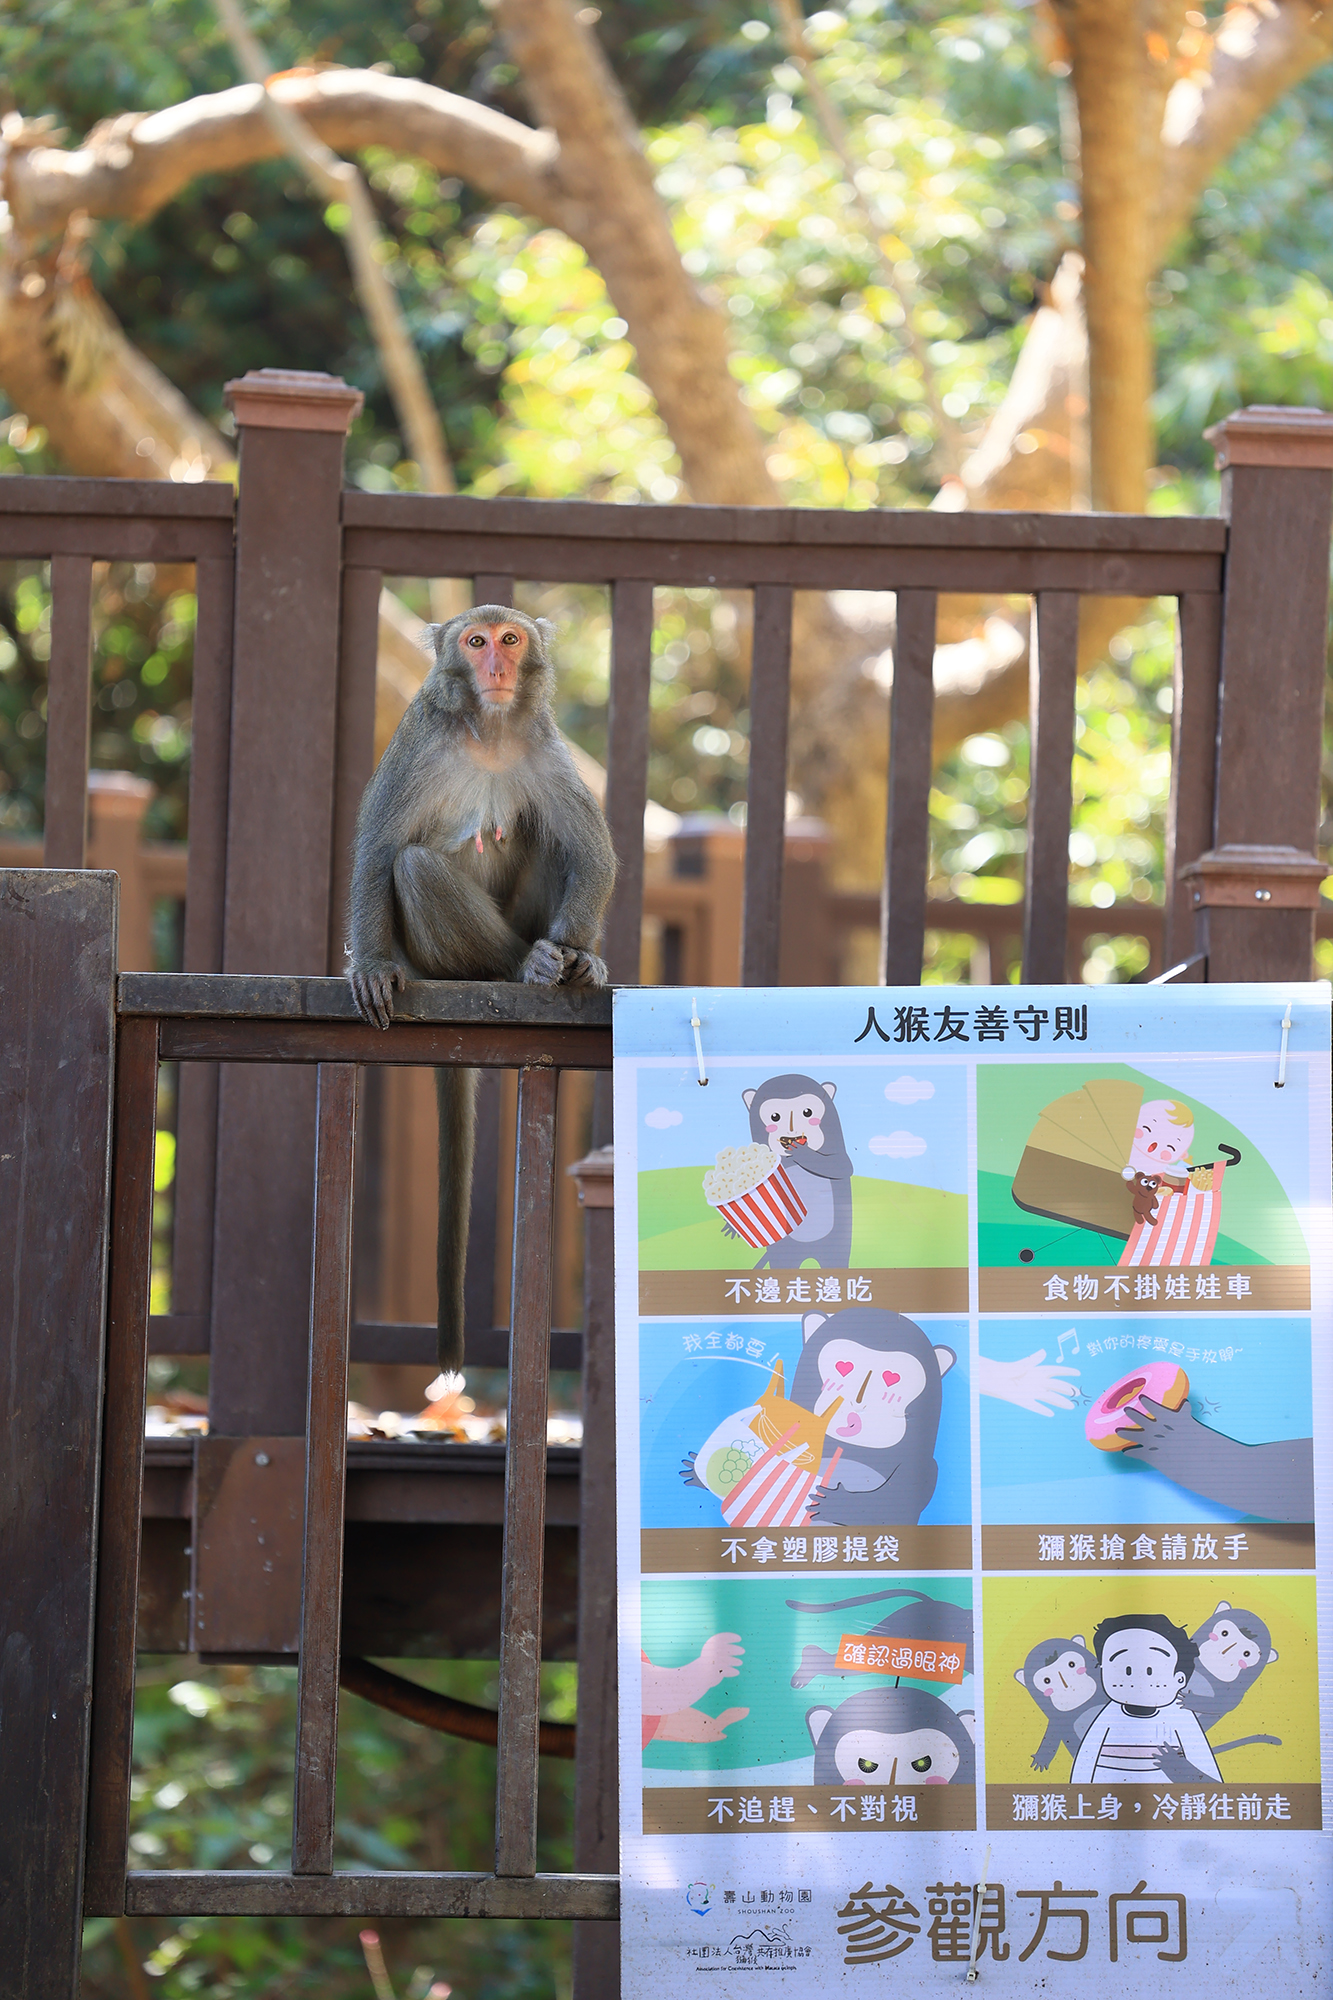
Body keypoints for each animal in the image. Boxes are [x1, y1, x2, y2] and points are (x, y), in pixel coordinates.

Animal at [345, 606, 616, 1368]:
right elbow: (379, 851)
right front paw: (369, 966)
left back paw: (562, 963)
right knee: (413, 865)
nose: (496, 665)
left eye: (510, 640)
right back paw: (519, 968)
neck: (489, 731)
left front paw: (581, 959)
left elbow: (590, 852)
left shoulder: (547, 747)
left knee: (547, 832)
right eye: (475, 642)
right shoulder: (416, 741)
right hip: (435, 959)